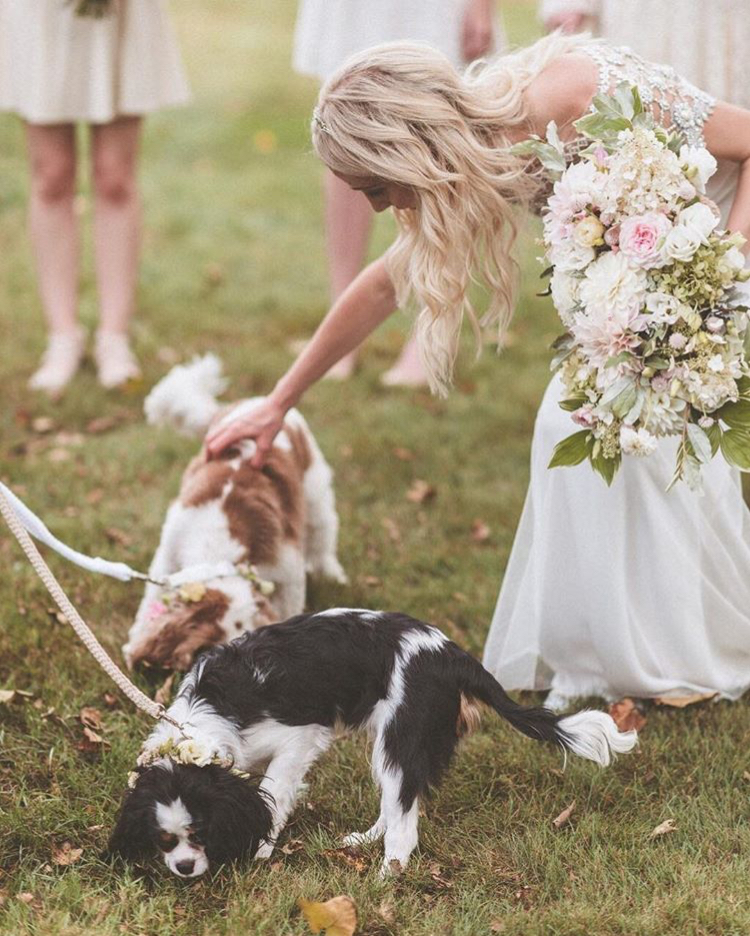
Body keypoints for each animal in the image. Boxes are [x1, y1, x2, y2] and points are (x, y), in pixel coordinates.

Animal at [110, 612, 640, 872]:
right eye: (164, 840)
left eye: (198, 834)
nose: (182, 867)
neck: (202, 719)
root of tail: (453, 655)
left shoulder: (299, 738)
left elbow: (273, 793)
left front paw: (260, 848)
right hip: (397, 741)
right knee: (398, 801)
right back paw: (367, 841)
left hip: (400, 734)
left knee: (405, 824)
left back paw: (389, 874)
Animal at [123, 354, 346, 668]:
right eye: (205, 652)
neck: (217, 545)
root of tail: (255, 401)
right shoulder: (166, 556)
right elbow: (150, 598)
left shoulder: (288, 570)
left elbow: (289, 605)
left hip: (316, 490)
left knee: (322, 536)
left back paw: (331, 573)